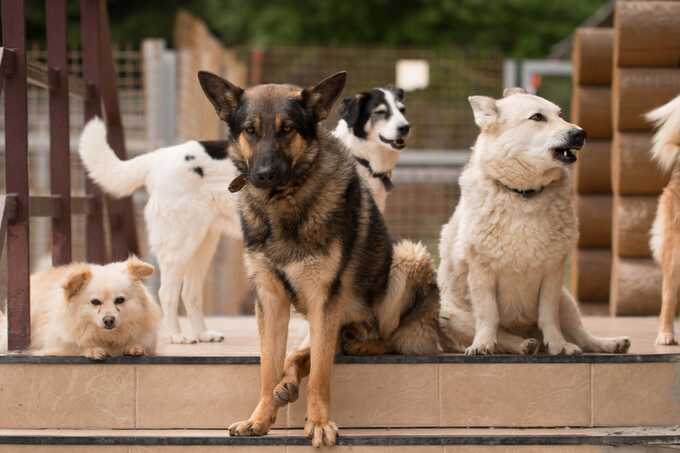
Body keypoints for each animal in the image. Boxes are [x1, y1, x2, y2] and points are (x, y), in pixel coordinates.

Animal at [6, 256, 162, 358]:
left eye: (119, 300)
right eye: (95, 302)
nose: (109, 320)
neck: (107, 337)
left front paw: (133, 347)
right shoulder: (54, 345)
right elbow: (75, 346)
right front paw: (92, 350)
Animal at [78, 118, 242, 344]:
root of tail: (160, 156)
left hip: (202, 245)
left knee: (189, 293)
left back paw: (202, 334)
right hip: (181, 245)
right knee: (167, 292)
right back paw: (176, 335)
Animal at [198, 70, 440, 444]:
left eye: (287, 129)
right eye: (250, 130)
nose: (264, 175)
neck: (283, 203)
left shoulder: (323, 299)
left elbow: (322, 374)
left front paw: (319, 423)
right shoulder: (271, 300)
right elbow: (268, 367)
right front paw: (260, 418)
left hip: (405, 256)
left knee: (387, 338)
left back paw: (360, 346)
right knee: (304, 353)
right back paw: (288, 381)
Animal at [438, 88, 628, 354]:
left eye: (560, 114)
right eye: (537, 117)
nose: (580, 133)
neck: (524, 194)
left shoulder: (552, 272)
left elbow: (548, 317)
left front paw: (559, 346)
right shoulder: (481, 271)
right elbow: (489, 317)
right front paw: (482, 344)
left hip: (566, 300)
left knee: (582, 336)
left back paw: (609, 344)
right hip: (447, 312)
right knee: (504, 337)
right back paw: (523, 345)